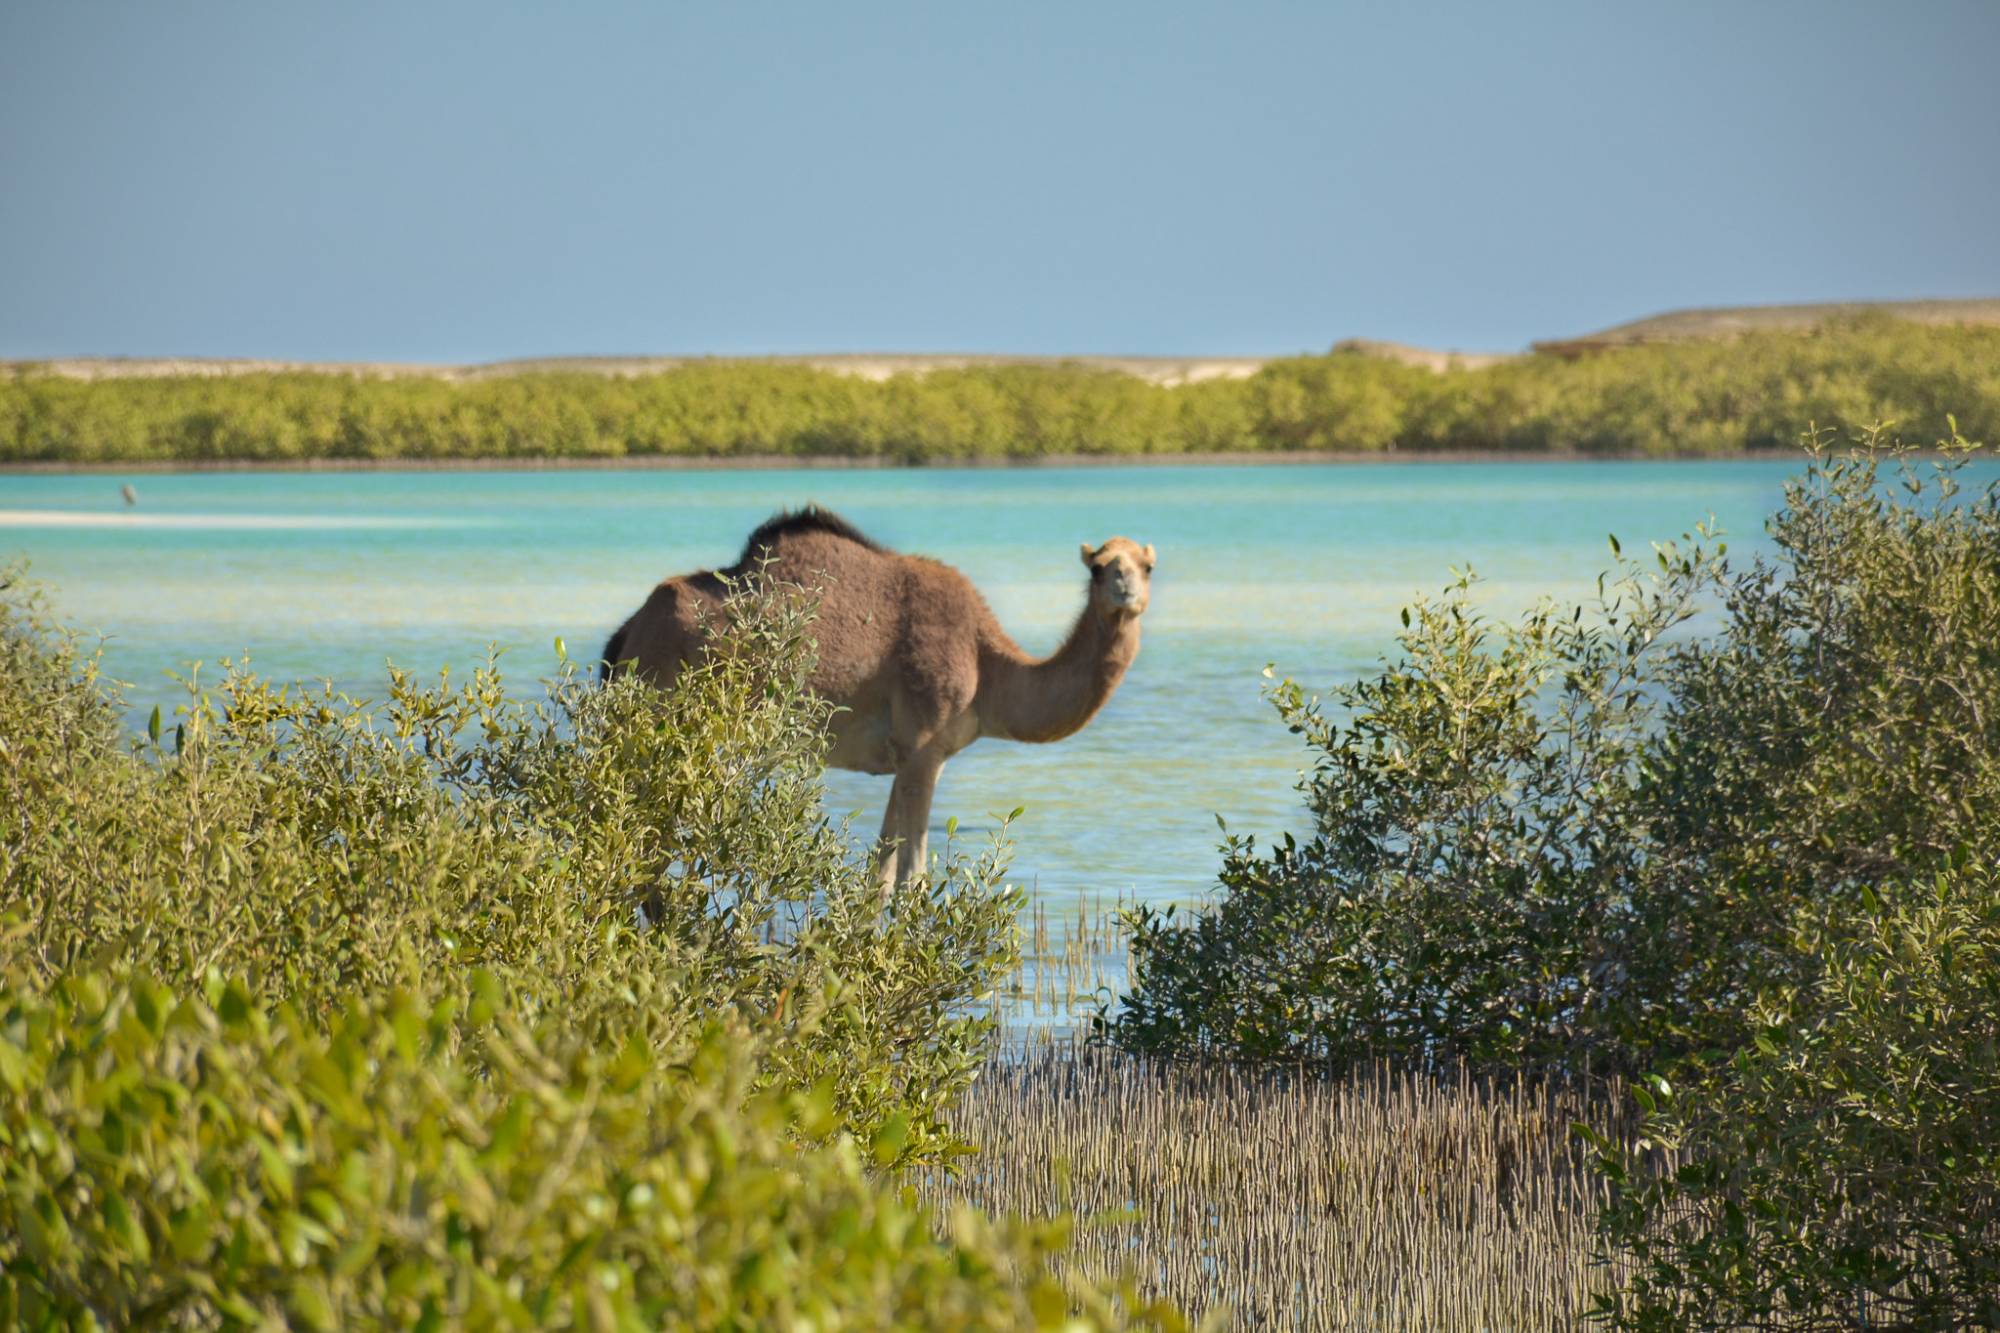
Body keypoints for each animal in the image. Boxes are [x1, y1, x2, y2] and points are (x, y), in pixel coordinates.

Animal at [596, 508, 1160, 892]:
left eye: (1147, 565)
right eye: (1098, 567)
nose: (1124, 587)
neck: (986, 663)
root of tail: (627, 635)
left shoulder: (906, 757)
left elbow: (880, 875)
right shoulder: (924, 747)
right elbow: (911, 876)